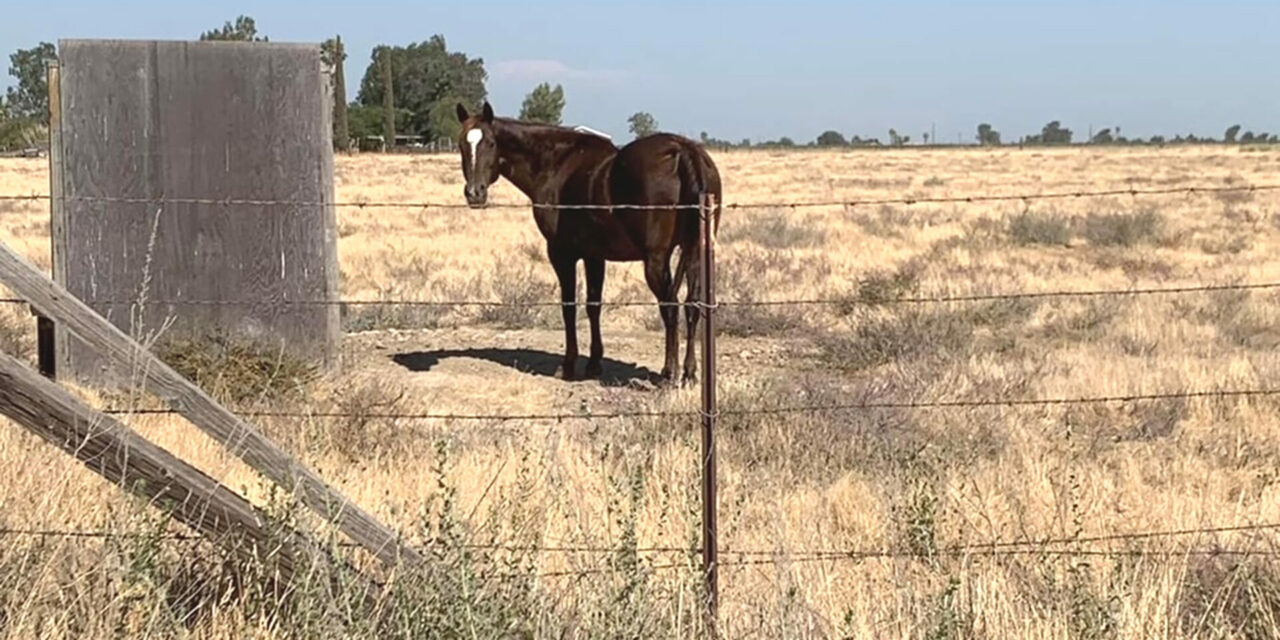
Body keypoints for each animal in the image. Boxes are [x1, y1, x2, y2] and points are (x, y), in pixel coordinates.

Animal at [458, 101, 721, 384]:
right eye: (462, 144)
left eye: (491, 143)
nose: (474, 193)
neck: (556, 164)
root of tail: (683, 150)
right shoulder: (595, 256)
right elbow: (594, 305)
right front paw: (594, 363)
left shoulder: (562, 254)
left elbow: (569, 307)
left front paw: (568, 365)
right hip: (695, 254)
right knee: (692, 306)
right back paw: (690, 373)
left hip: (656, 261)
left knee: (670, 308)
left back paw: (669, 372)